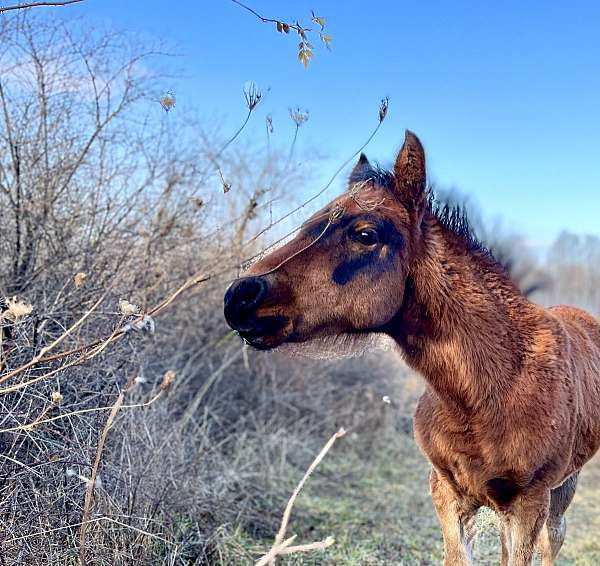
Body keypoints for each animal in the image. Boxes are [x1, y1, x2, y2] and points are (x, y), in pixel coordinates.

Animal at [223, 132, 600, 564]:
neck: (487, 392)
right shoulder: (448, 494)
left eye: (365, 234)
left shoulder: (529, 503)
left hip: (560, 492)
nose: (239, 297)